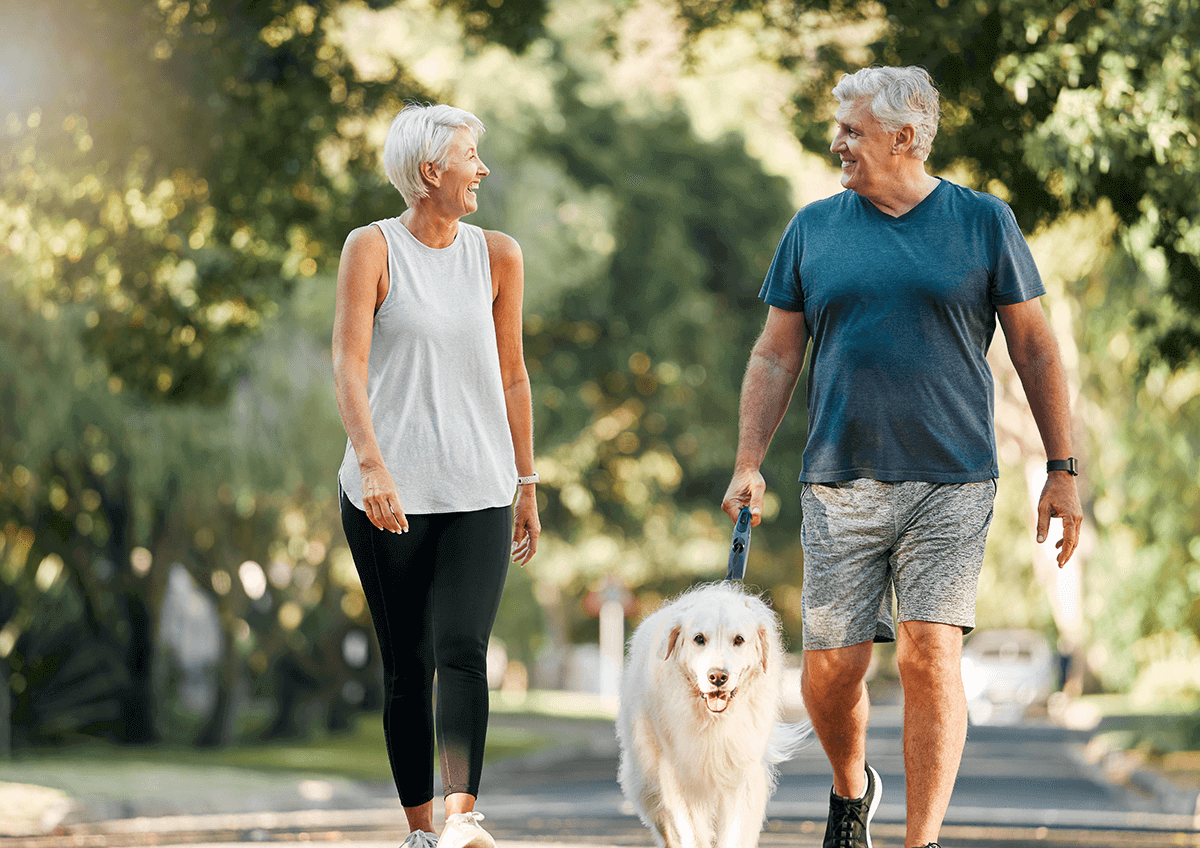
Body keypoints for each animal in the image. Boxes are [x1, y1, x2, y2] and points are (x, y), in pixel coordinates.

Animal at [619, 582, 806, 848]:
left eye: (739, 640)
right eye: (699, 639)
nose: (717, 677)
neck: (714, 721)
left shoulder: (740, 775)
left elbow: (735, 833)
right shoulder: (681, 776)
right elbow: (693, 833)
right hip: (646, 779)